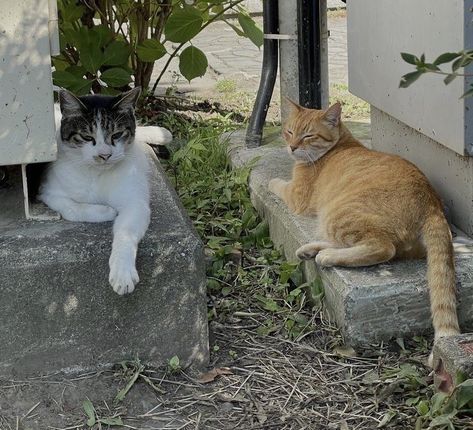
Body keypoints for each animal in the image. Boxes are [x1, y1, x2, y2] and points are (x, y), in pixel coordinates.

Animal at [38, 87, 171, 296]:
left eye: (116, 135)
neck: (97, 173)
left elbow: (126, 231)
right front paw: (106, 211)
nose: (104, 155)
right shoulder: (48, 191)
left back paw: (162, 134)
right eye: (87, 137)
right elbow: (72, 209)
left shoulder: (135, 202)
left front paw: (122, 273)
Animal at [270, 101, 458, 362]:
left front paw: (271, 182)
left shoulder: (296, 197)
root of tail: (432, 203)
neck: (340, 144)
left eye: (308, 135)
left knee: (382, 248)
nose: (292, 147)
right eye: (289, 131)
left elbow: (276, 184)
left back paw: (326, 256)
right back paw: (311, 250)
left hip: (339, 214)